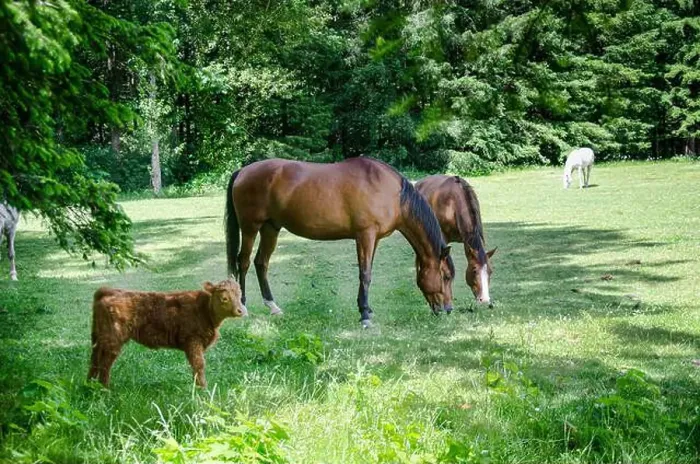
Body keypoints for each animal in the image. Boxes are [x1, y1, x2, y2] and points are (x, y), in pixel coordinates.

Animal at [224, 157, 455, 327]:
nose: (448, 309)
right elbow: (365, 274)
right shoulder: (365, 236)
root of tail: (242, 171)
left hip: (270, 228)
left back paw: (273, 306)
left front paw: (366, 309)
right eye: (445, 276)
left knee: (261, 263)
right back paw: (243, 306)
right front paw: (365, 316)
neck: (392, 193)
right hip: (250, 227)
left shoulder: (373, 239)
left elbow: (367, 273)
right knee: (243, 262)